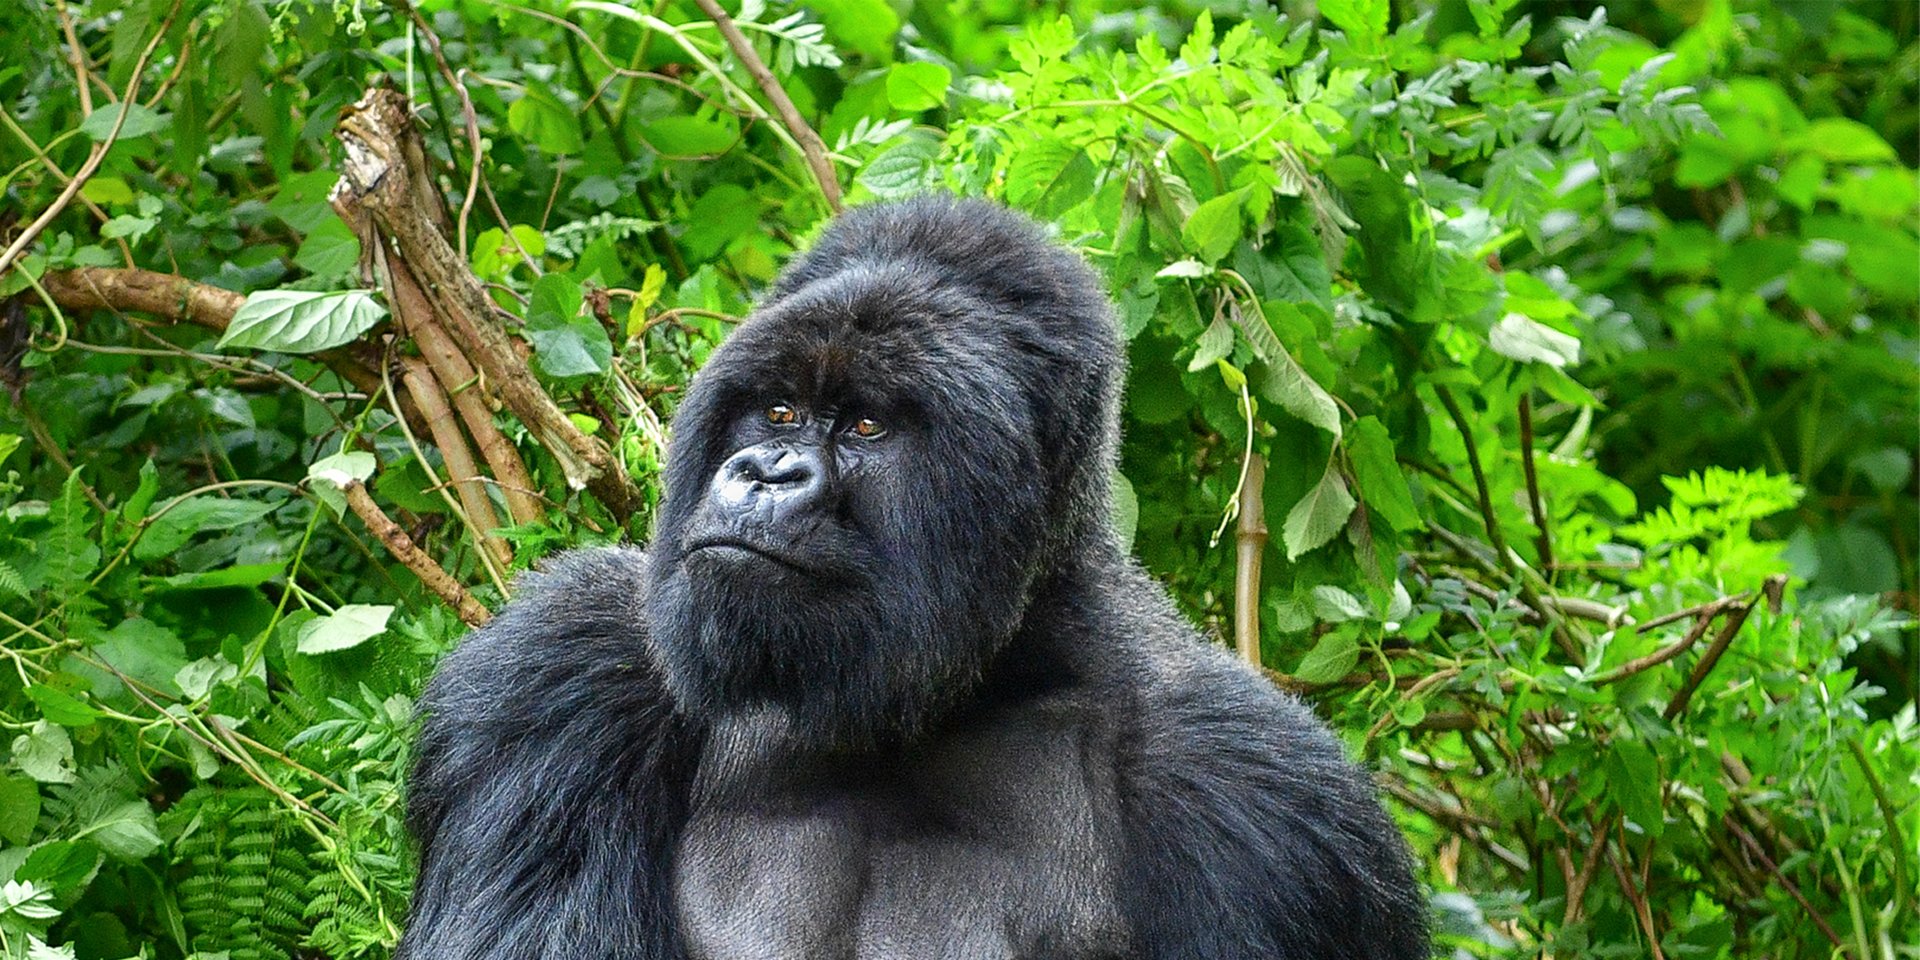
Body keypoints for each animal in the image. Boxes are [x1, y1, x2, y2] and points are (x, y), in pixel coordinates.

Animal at [401, 196, 1428, 960]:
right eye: (779, 410)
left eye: (867, 426)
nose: (766, 474)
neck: (961, 685)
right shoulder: (564, 667)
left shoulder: (1261, 802)